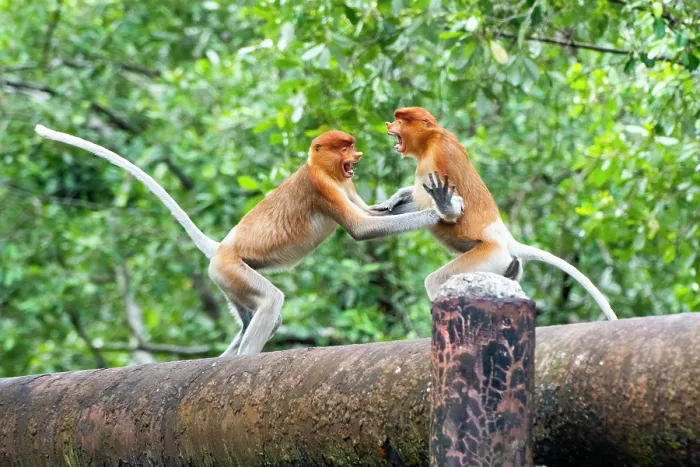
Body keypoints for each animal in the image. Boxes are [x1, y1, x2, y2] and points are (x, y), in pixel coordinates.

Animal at [35, 125, 465, 356]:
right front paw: (444, 208)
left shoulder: (345, 184)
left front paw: (398, 199)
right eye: (344, 146)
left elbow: (374, 215)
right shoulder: (322, 188)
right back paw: (242, 358)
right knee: (271, 302)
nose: (356, 157)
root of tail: (220, 247)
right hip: (232, 271)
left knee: (253, 316)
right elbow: (363, 229)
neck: (322, 168)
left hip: (228, 283)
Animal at [371, 107, 618, 321]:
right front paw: (395, 199)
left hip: (489, 254)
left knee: (434, 281)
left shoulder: (438, 157)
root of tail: (504, 237)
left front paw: (443, 203)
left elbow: (450, 209)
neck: (430, 140)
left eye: (401, 121)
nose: (388, 124)